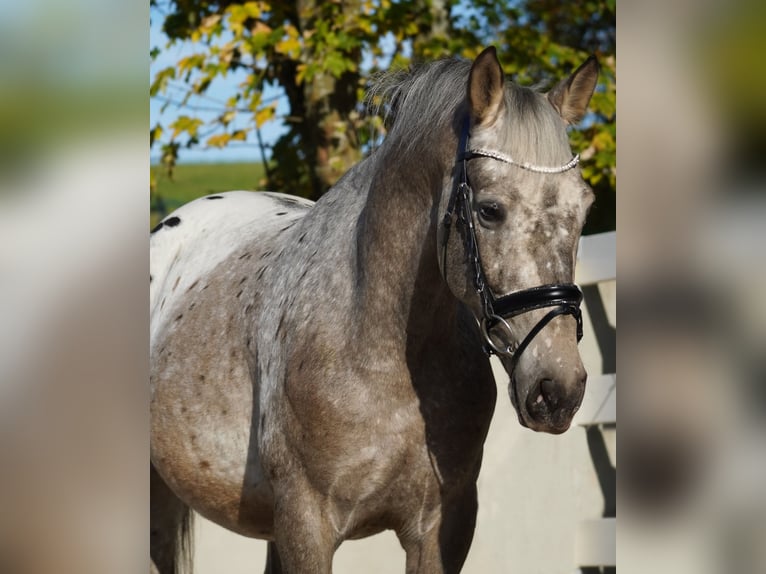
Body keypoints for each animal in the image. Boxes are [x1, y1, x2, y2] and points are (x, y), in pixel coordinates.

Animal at [150, 46, 604, 574]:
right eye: (490, 210)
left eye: (585, 209)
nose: (558, 390)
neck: (377, 349)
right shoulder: (307, 525)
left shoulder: (444, 526)